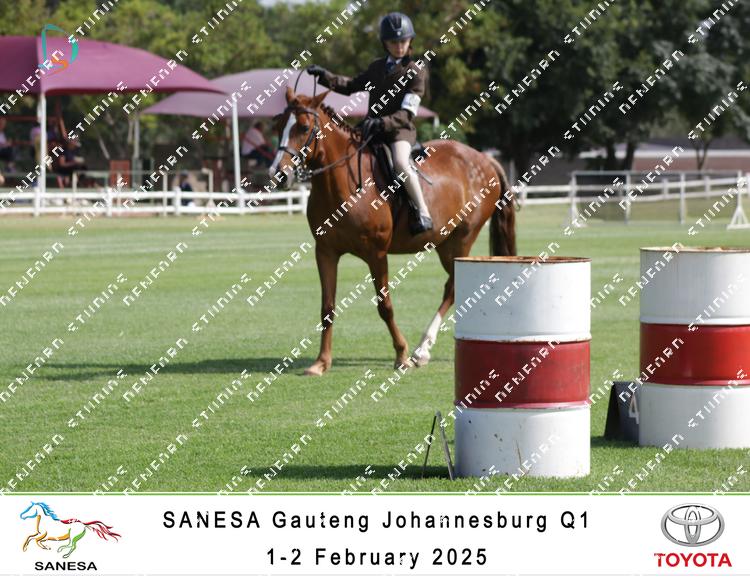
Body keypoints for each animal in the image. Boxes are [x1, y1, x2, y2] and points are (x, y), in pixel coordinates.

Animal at [269, 88, 516, 376]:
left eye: (304, 127)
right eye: (278, 125)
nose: (278, 174)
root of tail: (484, 158)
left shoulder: (376, 254)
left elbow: (384, 306)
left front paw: (402, 355)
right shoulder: (326, 252)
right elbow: (327, 308)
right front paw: (321, 362)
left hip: (460, 241)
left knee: (453, 287)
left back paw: (421, 350)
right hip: (444, 244)